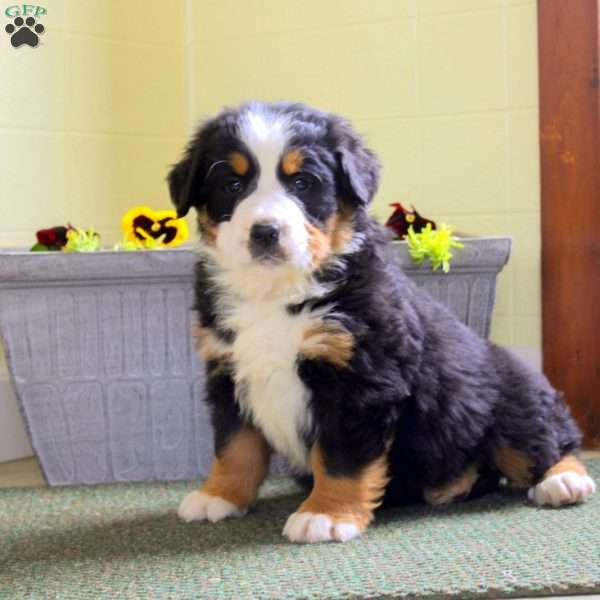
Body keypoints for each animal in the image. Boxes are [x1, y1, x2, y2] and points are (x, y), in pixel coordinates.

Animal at [168, 103, 596, 544]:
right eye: (232, 184)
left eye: (303, 183)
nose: (265, 231)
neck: (274, 294)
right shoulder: (227, 371)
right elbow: (234, 447)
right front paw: (219, 496)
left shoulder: (360, 379)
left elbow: (339, 457)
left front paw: (326, 514)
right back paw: (452, 486)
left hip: (511, 396)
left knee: (546, 440)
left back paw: (563, 480)